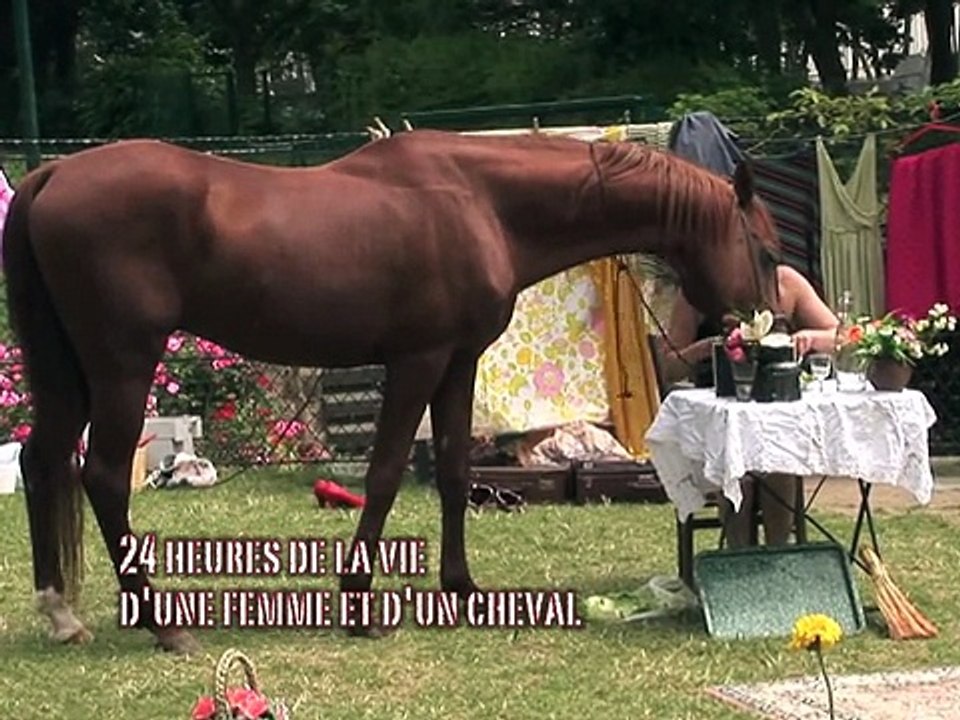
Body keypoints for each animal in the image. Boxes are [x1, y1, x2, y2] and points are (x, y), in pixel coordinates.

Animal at [2, 129, 780, 653]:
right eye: (767, 251)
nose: (754, 332)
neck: (481, 203)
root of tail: (53, 173)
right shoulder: (416, 361)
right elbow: (382, 475)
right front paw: (357, 605)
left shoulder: (459, 361)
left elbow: (458, 470)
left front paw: (462, 590)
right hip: (124, 366)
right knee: (103, 476)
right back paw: (166, 629)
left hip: (73, 372)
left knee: (43, 461)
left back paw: (61, 613)